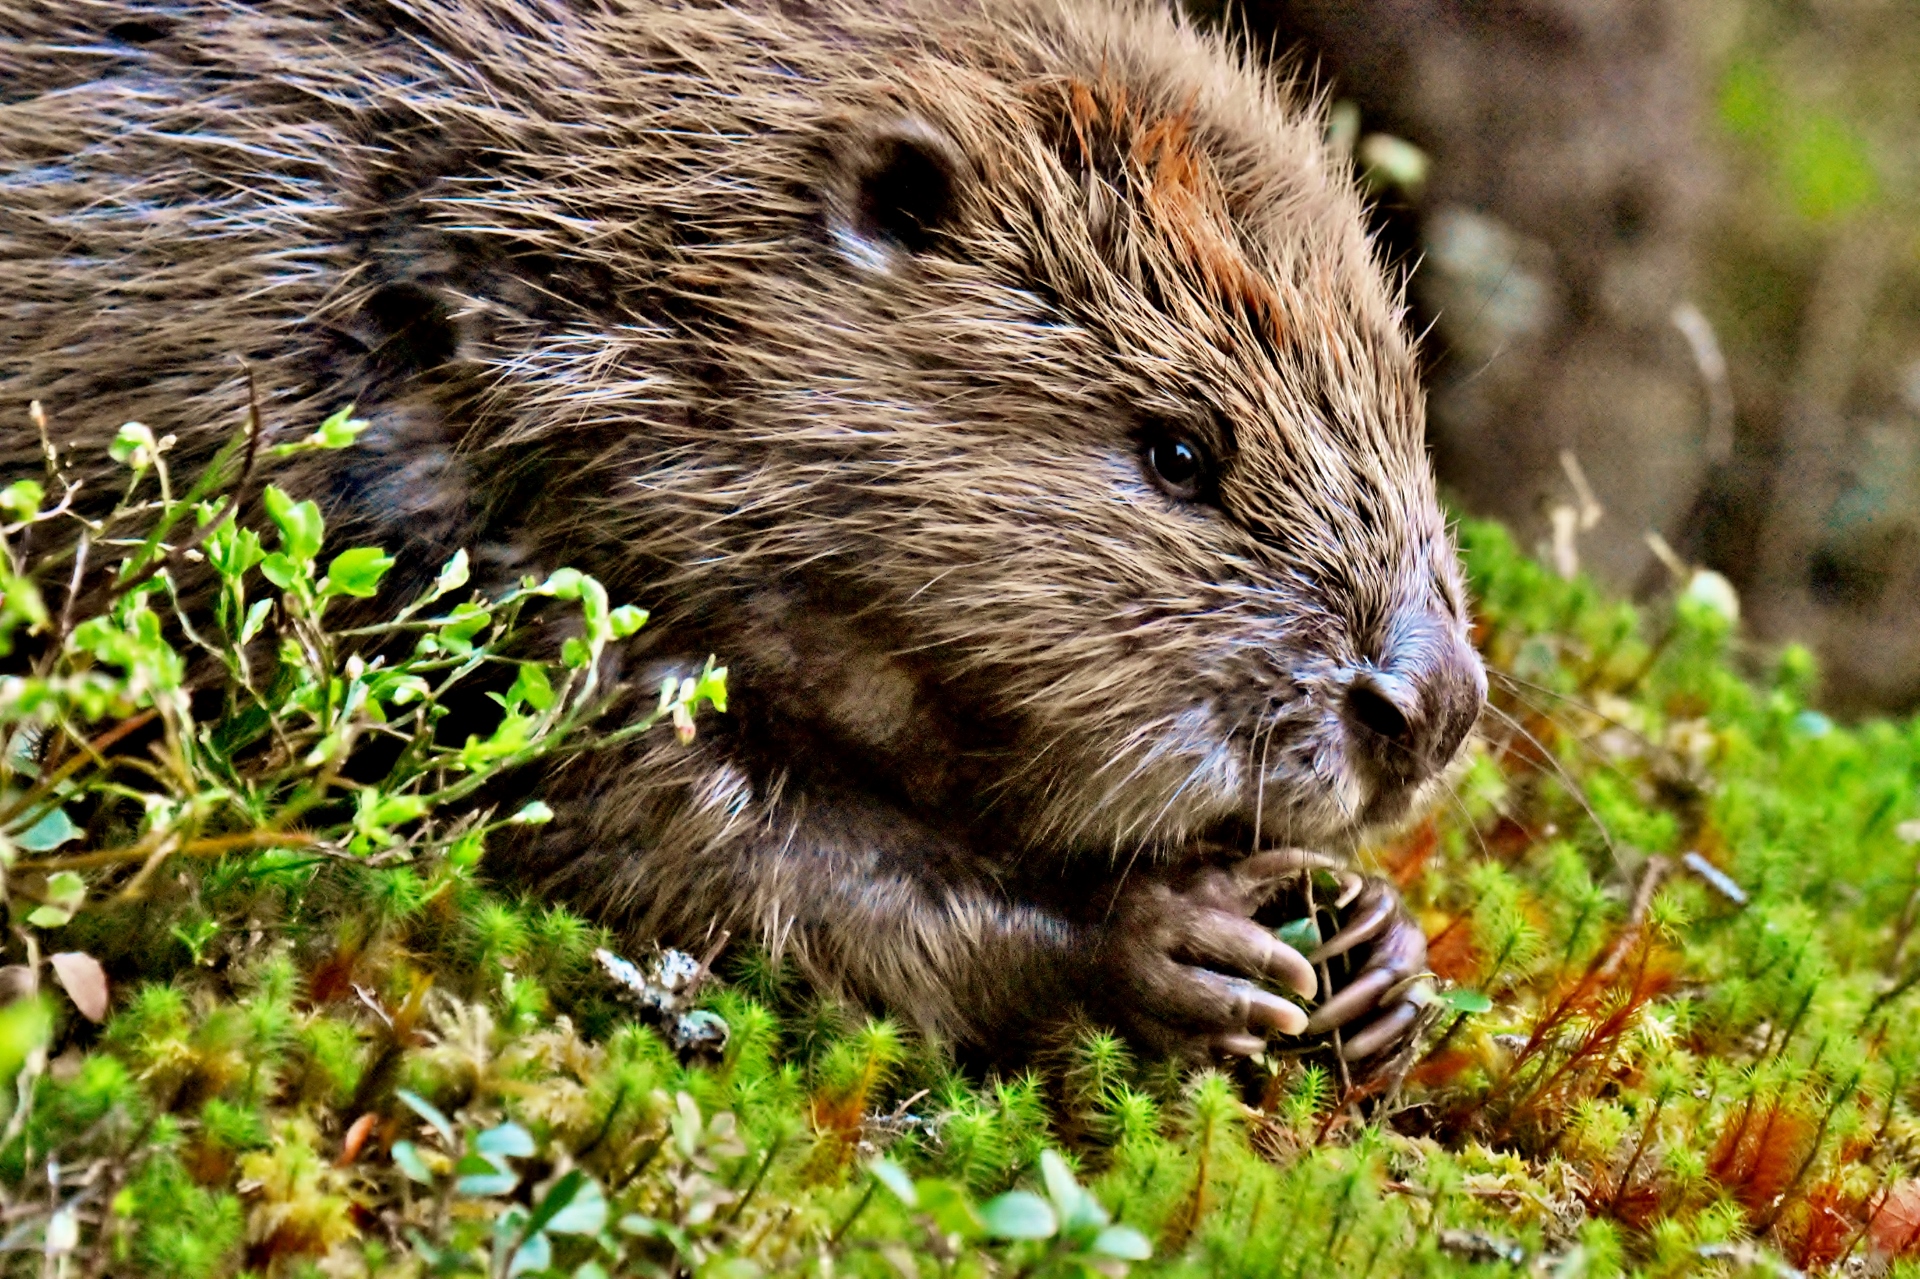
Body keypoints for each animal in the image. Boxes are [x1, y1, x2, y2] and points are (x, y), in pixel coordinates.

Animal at [3, 0, 1482, 1052]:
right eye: (1179, 451)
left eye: (1404, 394)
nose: (1432, 708)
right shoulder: (450, 512)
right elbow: (673, 831)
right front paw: (1176, 936)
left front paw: (1378, 953)